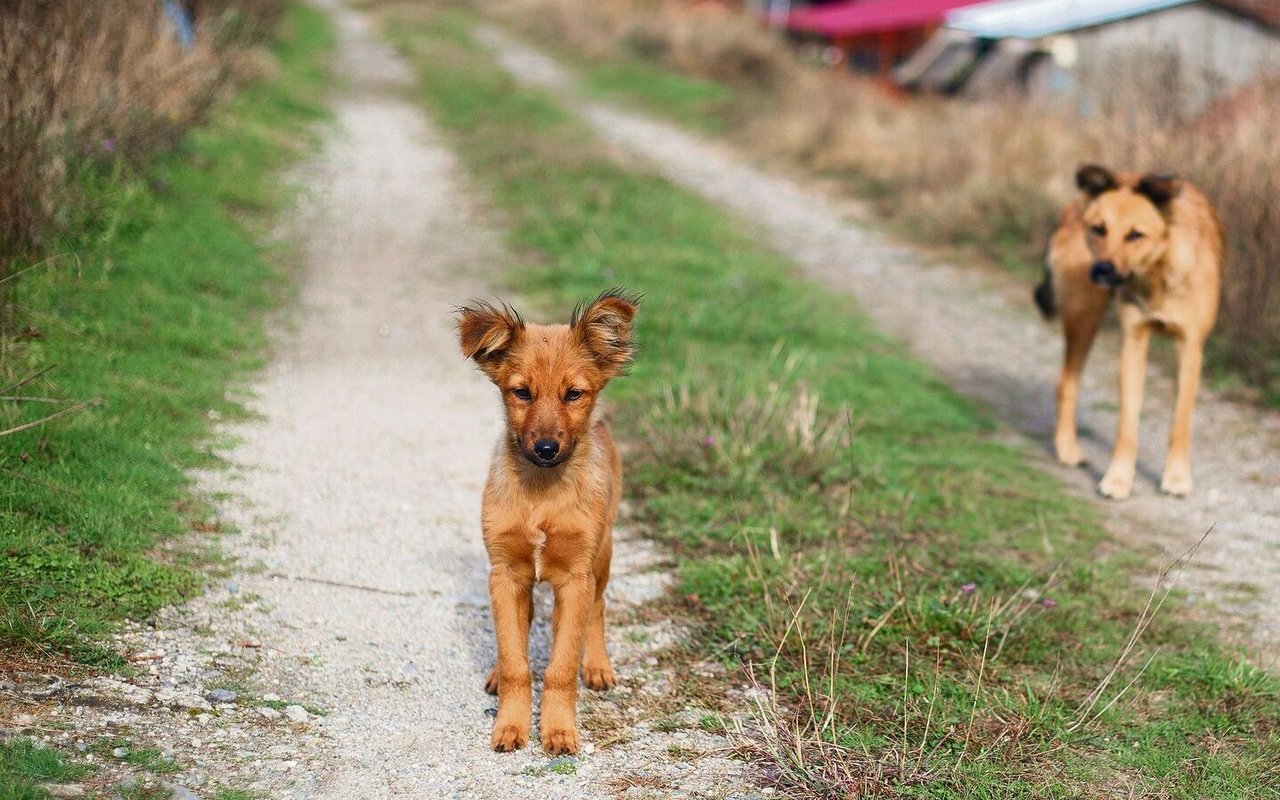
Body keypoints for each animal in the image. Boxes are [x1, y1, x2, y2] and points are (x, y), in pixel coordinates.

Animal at [458, 288, 640, 752]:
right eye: (521, 392)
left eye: (573, 394)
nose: (545, 448)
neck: (542, 491)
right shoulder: (505, 574)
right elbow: (515, 662)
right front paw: (510, 725)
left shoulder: (575, 577)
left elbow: (560, 666)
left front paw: (558, 729)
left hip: (602, 556)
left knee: (596, 610)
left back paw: (596, 665)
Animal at [1034, 163, 1223, 499]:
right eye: (1099, 229)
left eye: (1136, 235)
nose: (1102, 270)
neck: (1155, 274)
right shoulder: (1133, 343)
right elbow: (1126, 424)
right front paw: (1118, 479)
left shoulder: (1190, 348)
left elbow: (1181, 421)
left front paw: (1176, 477)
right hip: (1085, 316)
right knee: (1067, 383)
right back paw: (1067, 450)